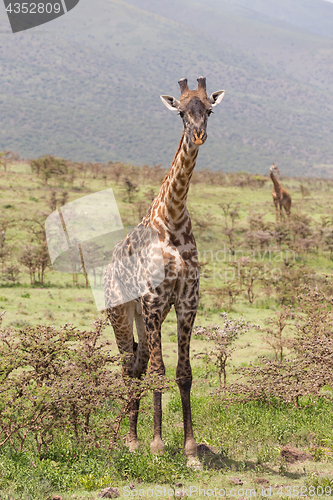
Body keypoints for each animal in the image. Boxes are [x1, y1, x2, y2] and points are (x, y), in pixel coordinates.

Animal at [104, 77, 223, 464]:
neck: (172, 218)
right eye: (181, 112)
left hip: (142, 317)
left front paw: (191, 451)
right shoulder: (154, 301)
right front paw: (157, 446)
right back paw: (127, 441)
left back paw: (133, 437)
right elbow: (159, 371)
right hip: (121, 312)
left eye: (209, 109)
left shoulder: (186, 302)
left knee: (138, 364)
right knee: (128, 367)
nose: (199, 134)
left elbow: (183, 374)